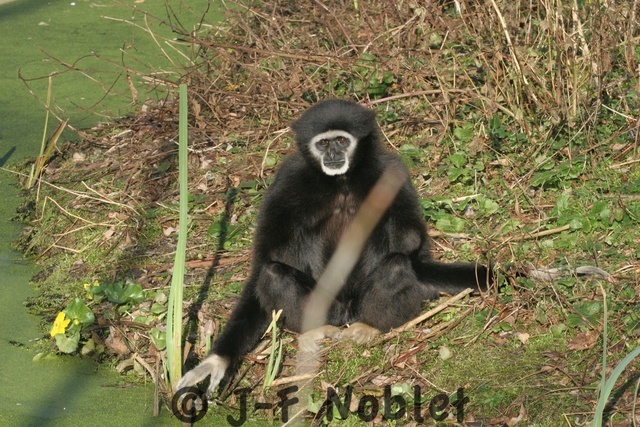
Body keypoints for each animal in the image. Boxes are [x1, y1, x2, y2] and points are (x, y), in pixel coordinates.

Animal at [176, 99, 491, 397]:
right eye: (323, 143)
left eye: (341, 140)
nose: (331, 155)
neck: (341, 181)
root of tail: (346, 313)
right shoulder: (285, 181)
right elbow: (261, 264)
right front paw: (218, 360)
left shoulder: (392, 173)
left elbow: (416, 252)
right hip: (326, 305)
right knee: (273, 272)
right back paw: (314, 330)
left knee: (396, 264)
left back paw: (370, 325)